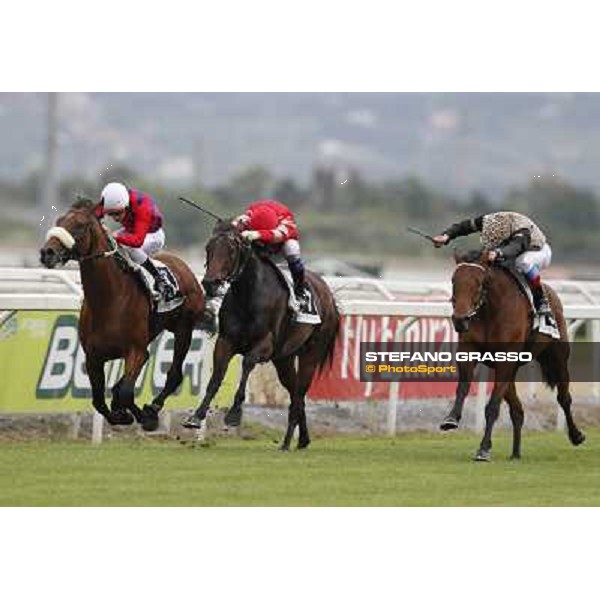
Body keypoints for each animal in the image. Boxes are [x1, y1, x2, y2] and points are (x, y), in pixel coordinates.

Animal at [39, 199, 207, 428]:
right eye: (59, 221)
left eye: (80, 226)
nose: (47, 253)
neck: (109, 300)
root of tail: (184, 266)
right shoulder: (93, 357)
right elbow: (99, 400)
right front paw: (119, 414)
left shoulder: (134, 351)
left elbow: (127, 392)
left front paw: (143, 416)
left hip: (183, 328)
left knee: (174, 374)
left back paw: (153, 408)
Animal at [180, 220, 340, 450]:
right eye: (208, 248)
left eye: (231, 250)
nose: (210, 283)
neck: (249, 296)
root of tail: (327, 291)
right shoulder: (225, 341)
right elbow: (216, 376)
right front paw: (196, 416)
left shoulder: (265, 345)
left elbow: (247, 364)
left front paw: (234, 414)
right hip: (284, 359)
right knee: (295, 394)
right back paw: (302, 439)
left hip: (311, 354)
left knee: (300, 393)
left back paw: (287, 442)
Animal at [442, 251, 584, 462]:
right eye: (454, 280)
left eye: (479, 282)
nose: (460, 319)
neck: (489, 310)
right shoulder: (469, 350)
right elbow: (463, 387)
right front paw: (451, 419)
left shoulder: (506, 359)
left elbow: (492, 406)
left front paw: (484, 449)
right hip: (511, 369)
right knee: (518, 410)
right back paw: (516, 453)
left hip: (557, 359)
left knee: (564, 398)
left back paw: (576, 435)